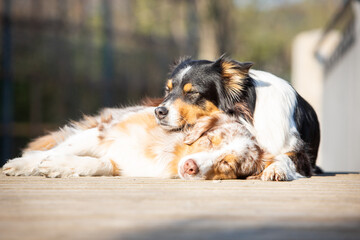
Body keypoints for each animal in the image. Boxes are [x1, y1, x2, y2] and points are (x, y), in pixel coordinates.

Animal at [2, 106, 278, 179]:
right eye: (210, 141)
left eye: (227, 165)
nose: (191, 167)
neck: (168, 153)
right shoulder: (104, 132)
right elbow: (54, 152)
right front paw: (21, 165)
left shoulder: (121, 163)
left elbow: (100, 164)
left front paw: (58, 166)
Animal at [153, 56, 320, 180]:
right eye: (167, 90)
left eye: (192, 92)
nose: (159, 111)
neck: (249, 117)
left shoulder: (300, 153)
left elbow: (285, 157)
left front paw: (275, 169)